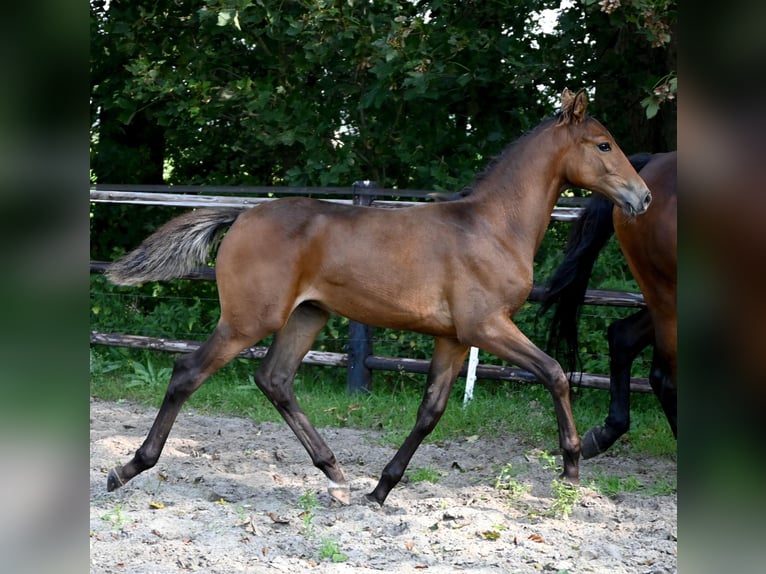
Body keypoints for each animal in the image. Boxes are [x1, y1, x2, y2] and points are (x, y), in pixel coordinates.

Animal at [105, 88, 652, 506]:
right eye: (603, 144)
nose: (642, 197)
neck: (492, 225)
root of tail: (241, 214)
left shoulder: (454, 338)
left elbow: (430, 412)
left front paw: (381, 489)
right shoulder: (487, 326)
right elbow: (555, 373)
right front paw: (572, 469)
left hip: (307, 316)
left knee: (274, 379)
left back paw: (336, 474)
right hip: (248, 320)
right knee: (188, 372)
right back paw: (128, 468)